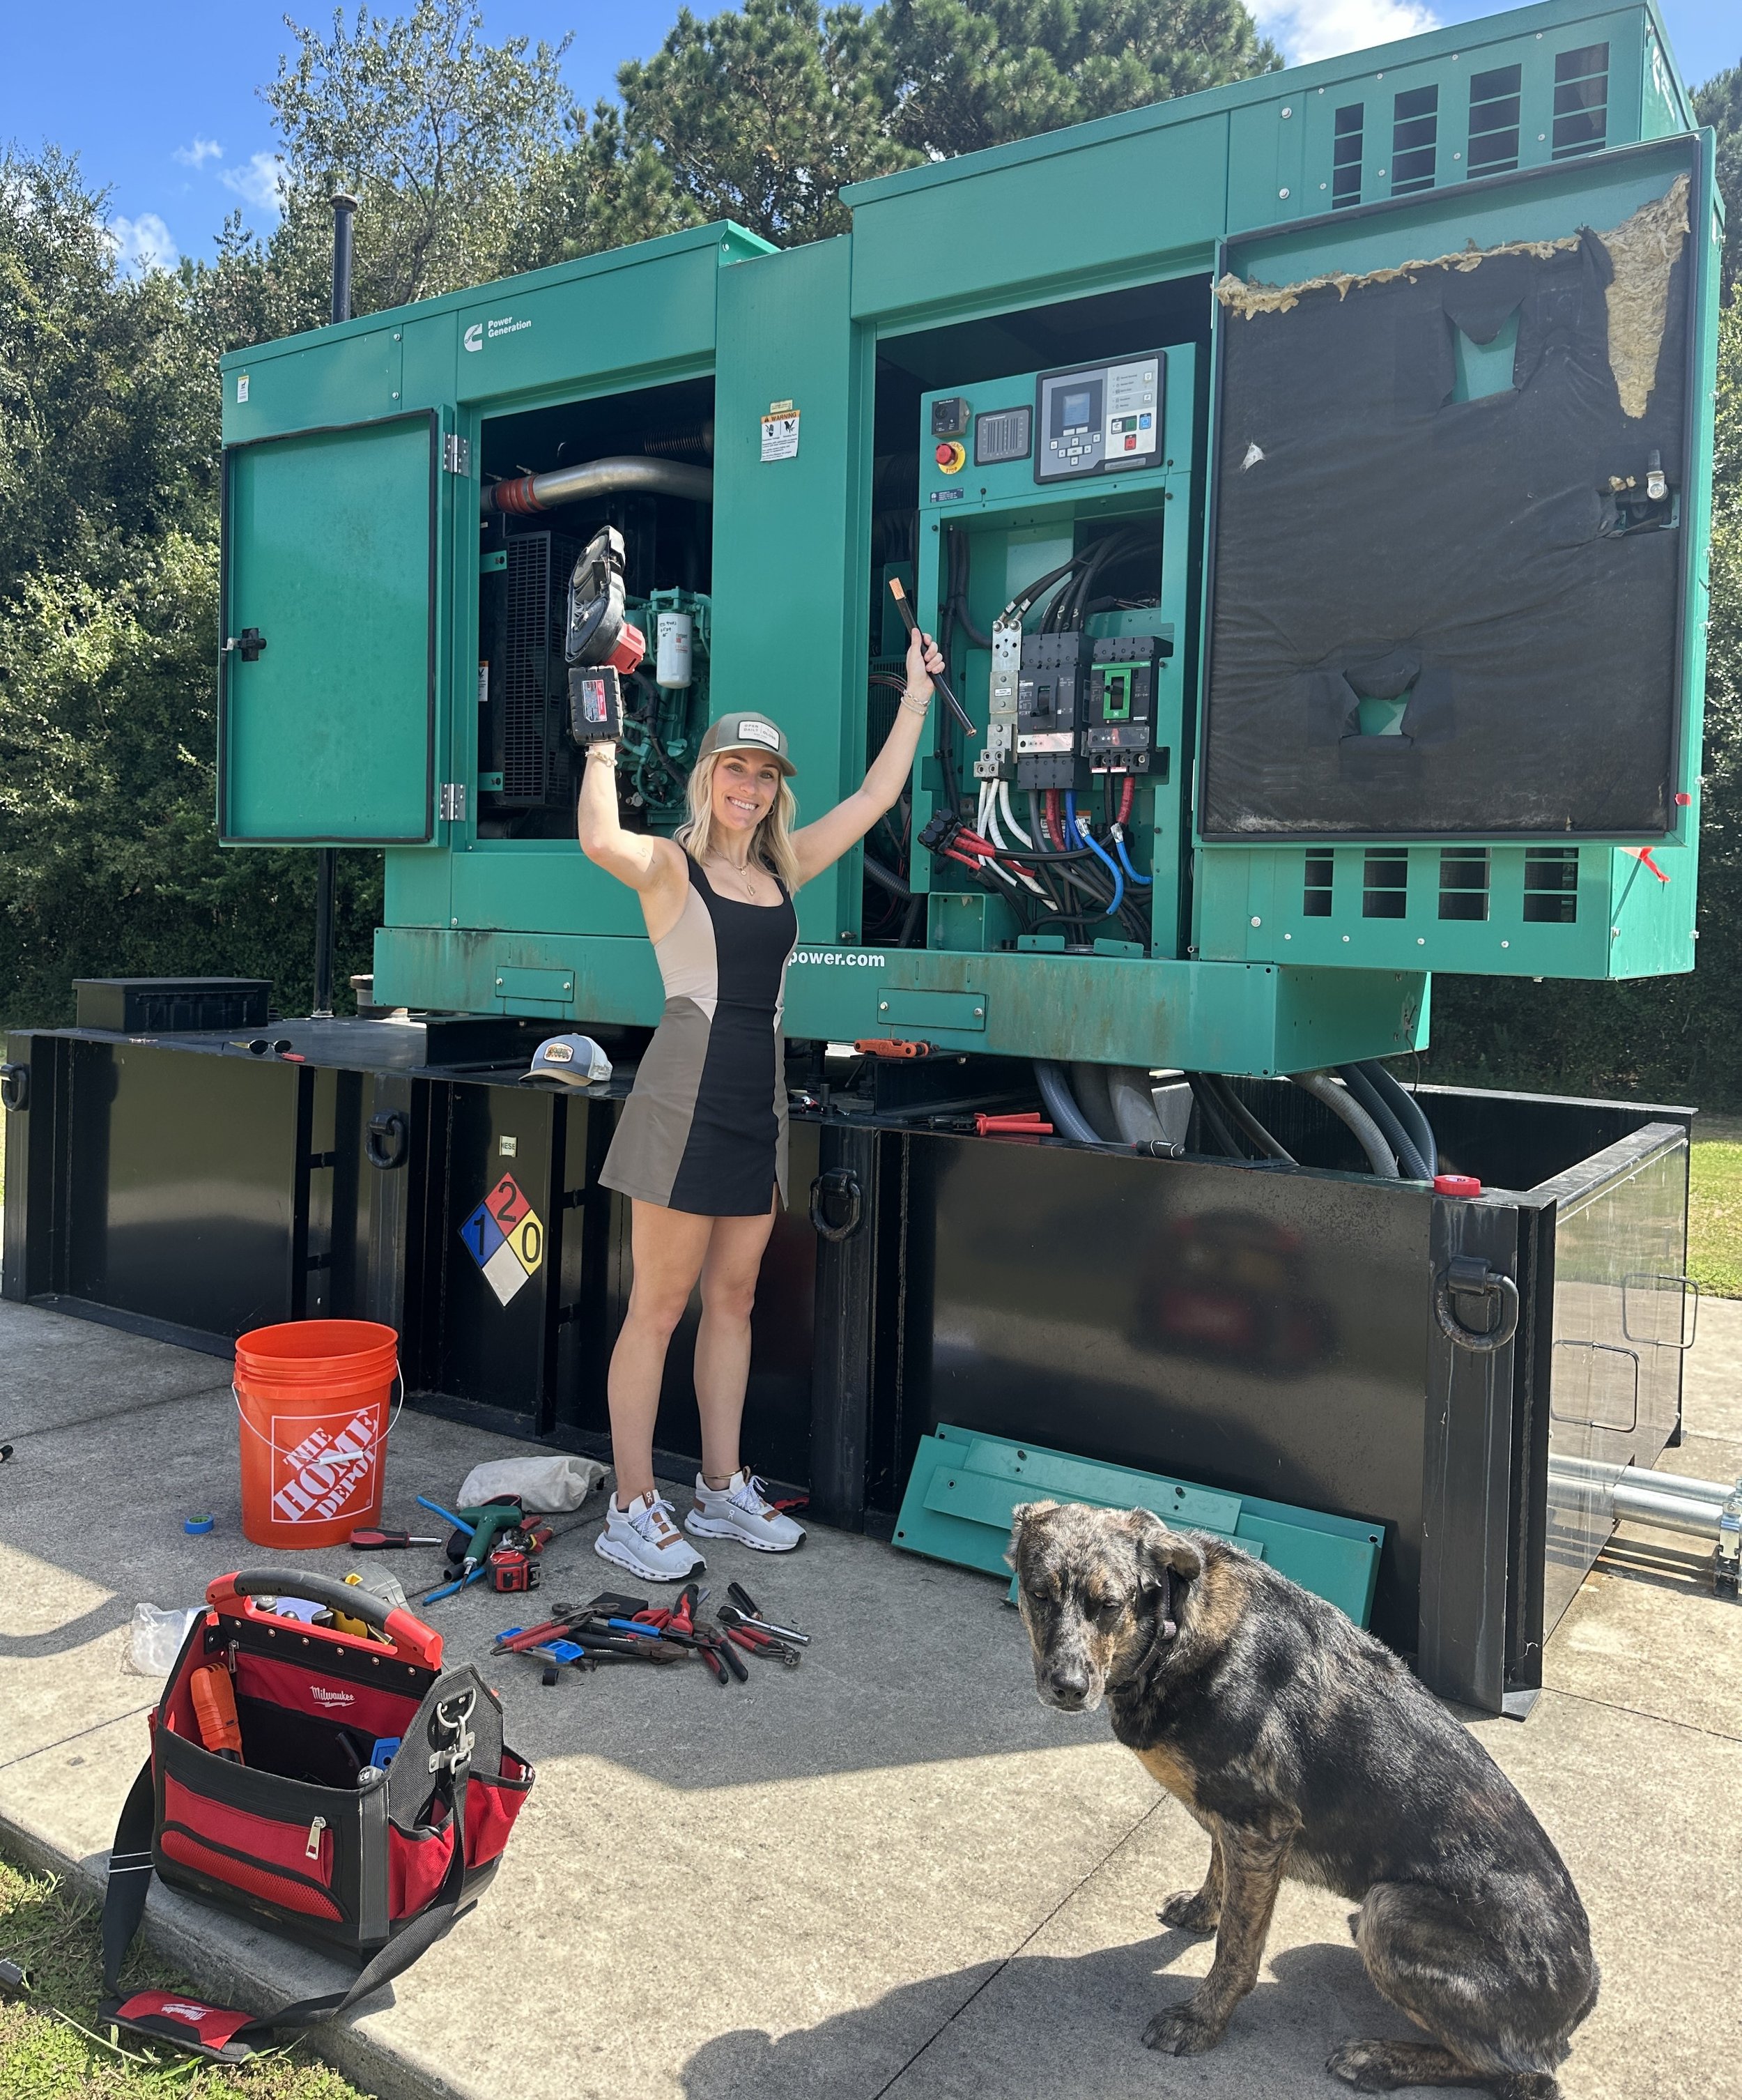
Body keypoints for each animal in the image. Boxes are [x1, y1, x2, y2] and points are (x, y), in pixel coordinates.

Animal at [1008, 1500, 1598, 2098]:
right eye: (1038, 1594)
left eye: (1109, 1605)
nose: (1068, 1686)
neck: (1172, 1631)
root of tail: (1580, 2005)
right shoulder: (1233, 1820)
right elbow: (1220, 1871)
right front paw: (1203, 1909)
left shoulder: (1260, 1827)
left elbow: (1237, 1948)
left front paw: (1202, 2020)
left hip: (1388, 1911)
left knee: (1516, 2070)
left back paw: (1380, 2059)